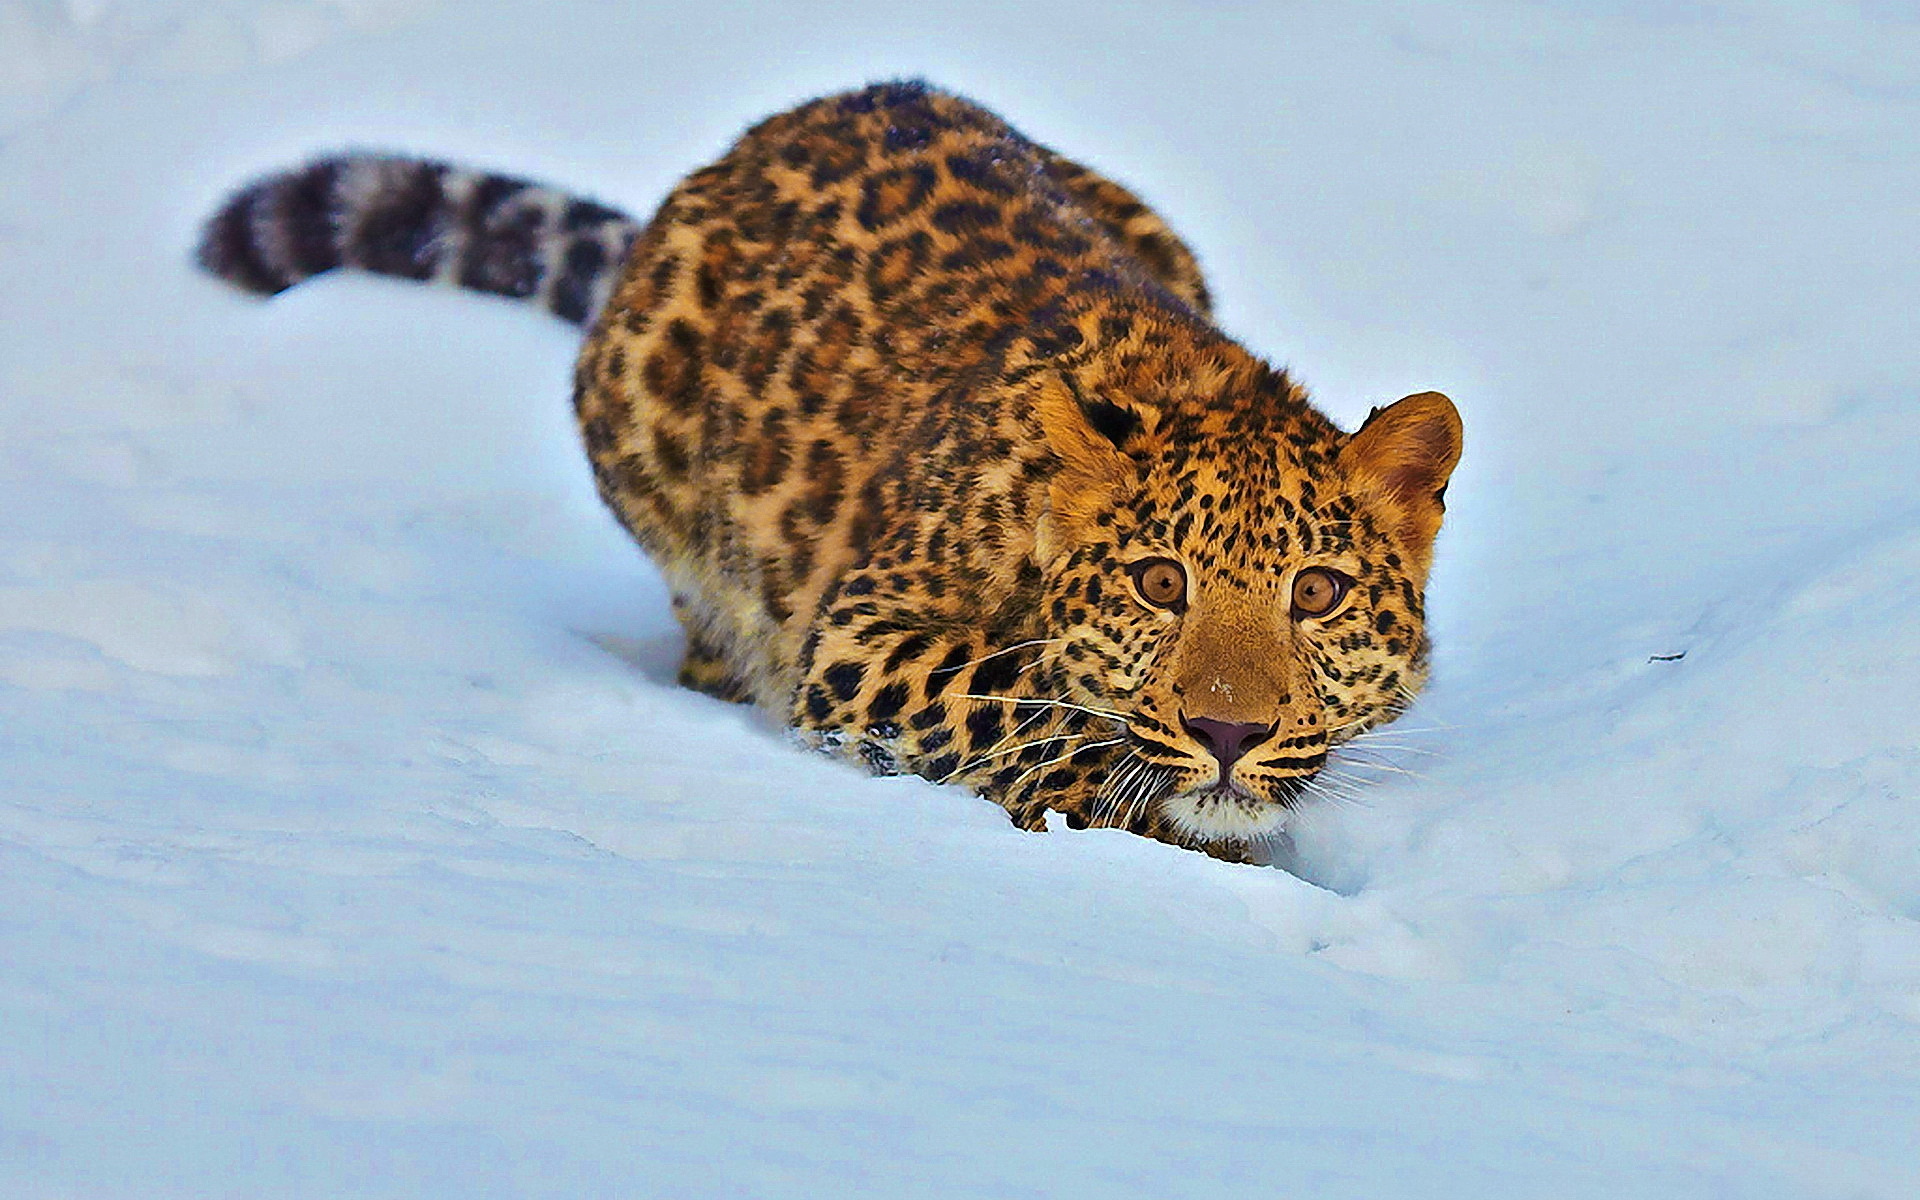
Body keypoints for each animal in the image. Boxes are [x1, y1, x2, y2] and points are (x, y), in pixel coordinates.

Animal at [198, 79, 1451, 860]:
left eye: (1317, 594)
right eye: (1158, 583)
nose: (1229, 734)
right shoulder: (858, 637)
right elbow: (1013, 688)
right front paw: (1115, 798)